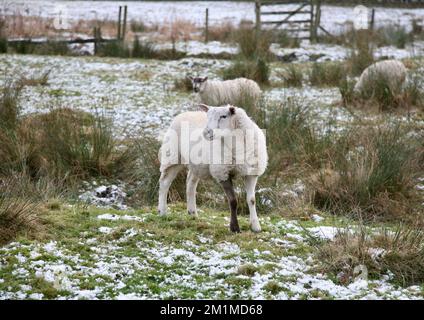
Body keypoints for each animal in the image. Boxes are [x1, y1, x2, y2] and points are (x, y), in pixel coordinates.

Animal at [157, 104, 266, 232]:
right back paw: (162, 212)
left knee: (190, 183)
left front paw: (256, 226)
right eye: (208, 116)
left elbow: (252, 200)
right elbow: (233, 201)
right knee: (164, 182)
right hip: (172, 157)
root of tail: (184, 113)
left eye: (223, 116)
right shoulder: (222, 173)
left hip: (197, 165)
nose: (206, 132)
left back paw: (192, 213)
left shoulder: (251, 173)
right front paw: (234, 227)